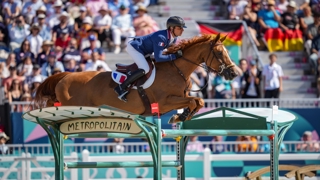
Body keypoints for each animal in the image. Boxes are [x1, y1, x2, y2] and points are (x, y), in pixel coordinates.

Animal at [35, 33, 239, 124]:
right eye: (219, 52)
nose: (234, 73)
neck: (177, 70)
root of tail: (66, 75)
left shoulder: (177, 99)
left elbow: (198, 101)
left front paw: (180, 117)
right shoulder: (164, 102)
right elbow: (194, 100)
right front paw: (180, 116)